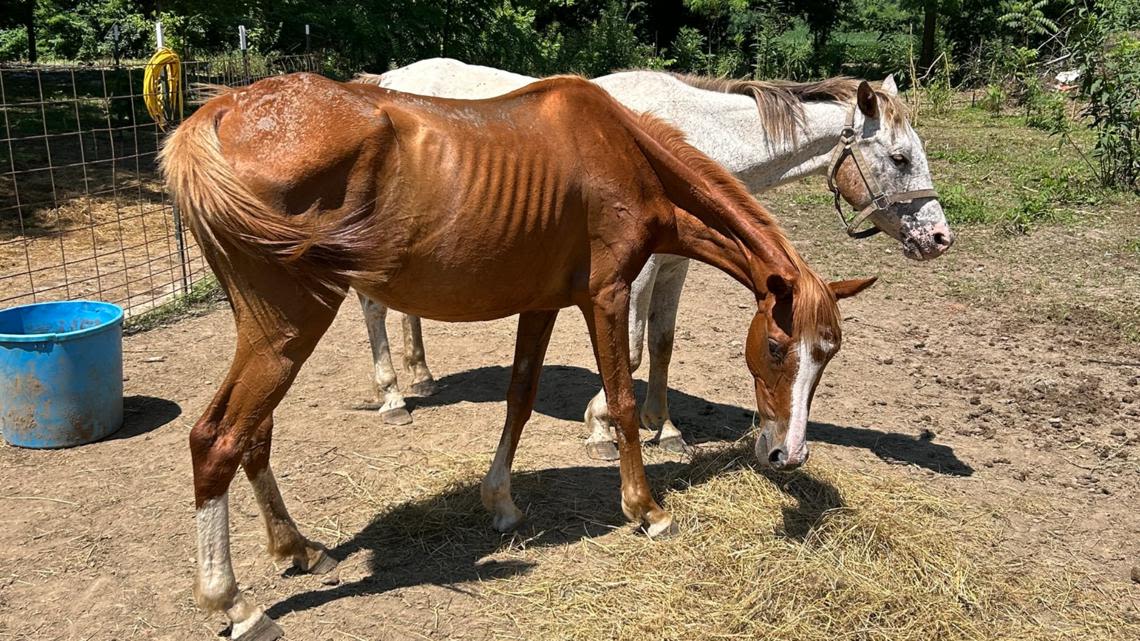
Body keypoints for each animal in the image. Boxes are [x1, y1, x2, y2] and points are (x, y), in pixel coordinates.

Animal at [158, 72, 870, 634]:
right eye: (775, 346)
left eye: (827, 357)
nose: (787, 454)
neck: (624, 152)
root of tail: (220, 113)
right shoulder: (608, 296)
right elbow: (622, 397)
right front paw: (646, 509)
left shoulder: (541, 304)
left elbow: (520, 398)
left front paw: (500, 501)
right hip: (290, 327)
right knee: (217, 440)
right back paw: (234, 604)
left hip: (269, 333)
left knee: (254, 435)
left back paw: (296, 549)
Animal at [355, 57, 953, 456]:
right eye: (900, 158)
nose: (939, 238)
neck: (682, 137)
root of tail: (386, 80)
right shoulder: (633, 271)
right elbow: (635, 347)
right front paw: (601, 426)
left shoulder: (674, 266)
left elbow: (663, 345)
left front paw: (665, 429)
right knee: (372, 305)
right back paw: (393, 397)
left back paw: (421, 375)